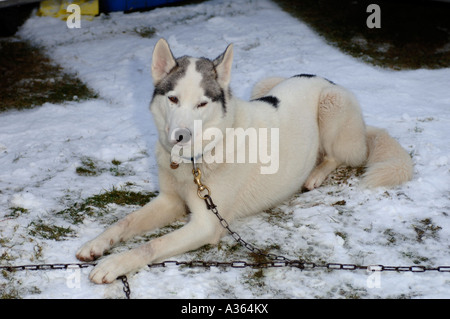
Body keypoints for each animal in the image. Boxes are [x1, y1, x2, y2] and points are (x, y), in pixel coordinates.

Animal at [75, 38, 414, 284]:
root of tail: (324, 79)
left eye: (202, 104)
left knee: (342, 155)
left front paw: (114, 263)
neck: (196, 160)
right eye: (172, 99)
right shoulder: (170, 200)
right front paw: (97, 244)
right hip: (265, 84)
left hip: (333, 106)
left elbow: (150, 245)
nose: (180, 136)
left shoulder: (206, 224)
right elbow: (125, 222)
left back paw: (317, 174)